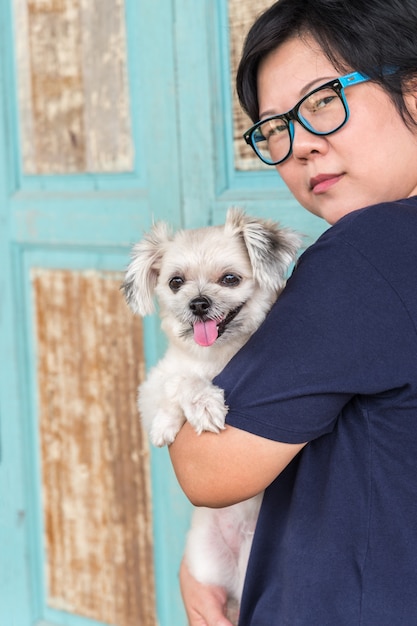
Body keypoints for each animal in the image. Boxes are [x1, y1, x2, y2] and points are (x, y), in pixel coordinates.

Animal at [122, 207, 300, 616]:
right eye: (176, 282)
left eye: (230, 279)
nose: (199, 303)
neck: (218, 356)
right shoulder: (151, 386)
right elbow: (177, 382)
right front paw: (179, 417)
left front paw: (200, 406)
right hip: (206, 563)